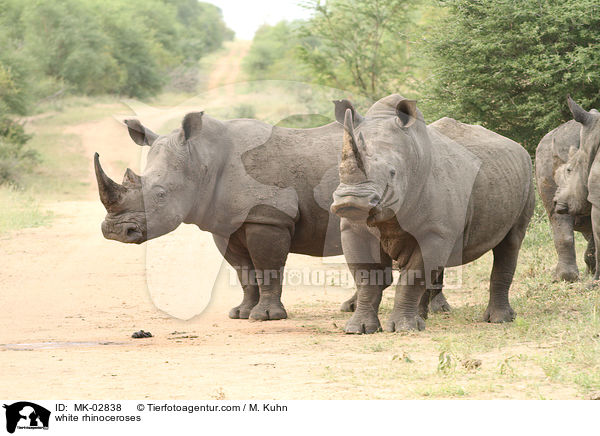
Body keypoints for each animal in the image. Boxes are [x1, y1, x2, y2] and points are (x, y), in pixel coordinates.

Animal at [95, 104, 450, 324]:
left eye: (160, 194)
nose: (115, 232)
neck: (202, 160)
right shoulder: (226, 224)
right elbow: (244, 272)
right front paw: (240, 313)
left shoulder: (268, 217)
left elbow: (266, 267)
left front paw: (265, 317)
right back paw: (352, 307)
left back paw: (436, 312)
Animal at [330, 95, 532, 332]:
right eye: (339, 170)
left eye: (392, 172)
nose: (351, 201)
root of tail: (518, 146)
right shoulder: (354, 230)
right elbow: (367, 278)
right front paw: (359, 329)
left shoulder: (434, 232)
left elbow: (413, 277)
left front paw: (403, 328)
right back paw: (421, 318)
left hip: (527, 174)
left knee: (511, 242)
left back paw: (499, 320)